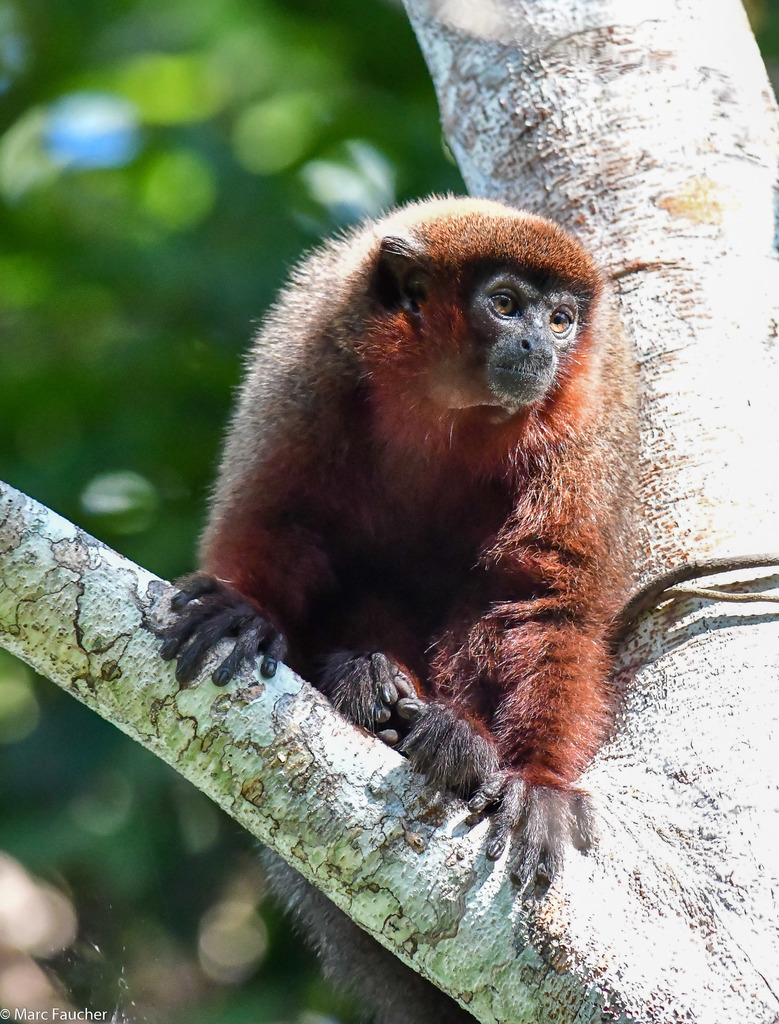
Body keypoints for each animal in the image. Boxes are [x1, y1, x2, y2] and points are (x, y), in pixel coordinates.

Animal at [160, 196, 638, 1024]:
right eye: (504, 303)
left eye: (560, 319)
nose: (533, 344)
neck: (448, 405)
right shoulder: (311, 351)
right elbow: (280, 514)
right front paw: (245, 610)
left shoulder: (589, 415)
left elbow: (539, 601)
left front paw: (538, 782)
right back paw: (371, 689)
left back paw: (455, 739)